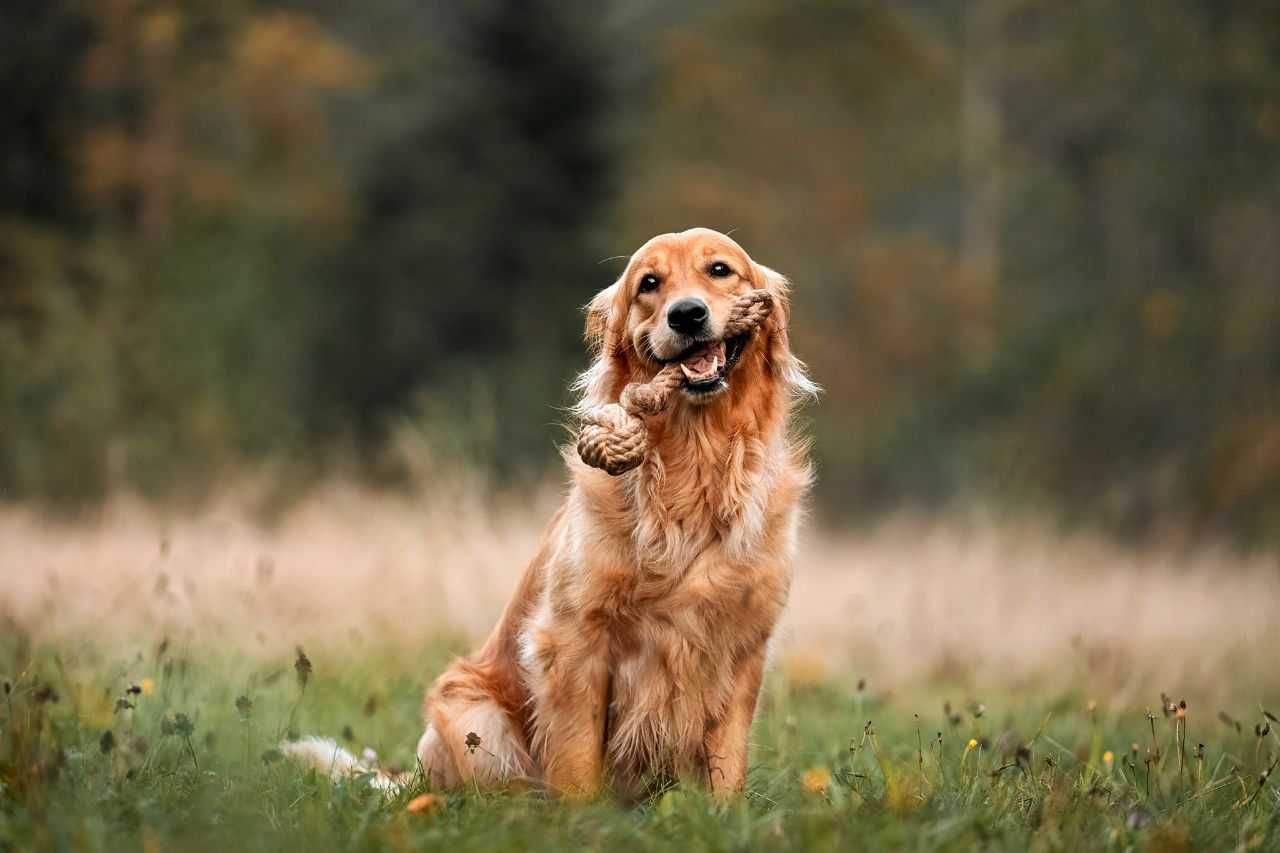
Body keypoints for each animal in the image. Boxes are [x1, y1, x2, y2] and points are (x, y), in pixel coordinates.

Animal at [286, 227, 814, 799]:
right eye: (649, 283)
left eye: (719, 270)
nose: (687, 315)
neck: (692, 471)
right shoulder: (574, 640)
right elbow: (577, 760)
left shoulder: (741, 649)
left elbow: (725, 767)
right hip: (474, 716)